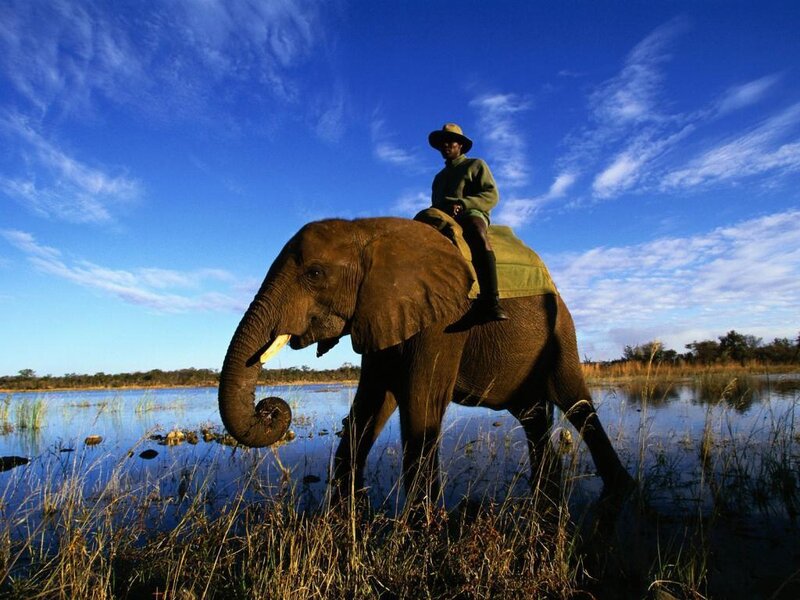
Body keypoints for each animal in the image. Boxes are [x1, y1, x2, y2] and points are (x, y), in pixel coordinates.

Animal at [218, 216, 633, 504]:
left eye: (315, 273)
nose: (269, 409)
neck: (368, 230)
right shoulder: (380, 314)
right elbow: (369, 405)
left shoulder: (445, 321)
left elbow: (420, 402)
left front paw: (422, 521)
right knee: (532, 414)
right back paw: (546, 486)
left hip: (562, 333)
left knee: (576, 404)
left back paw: (621, 487)